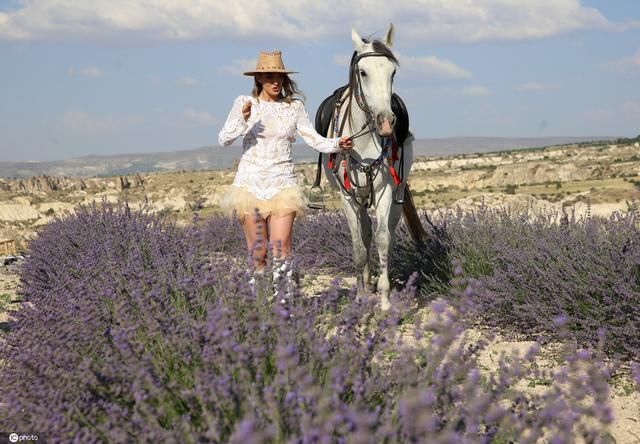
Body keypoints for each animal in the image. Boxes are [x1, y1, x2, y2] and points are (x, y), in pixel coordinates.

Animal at [322, 23, 418, 308]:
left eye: (392, 71)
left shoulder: (385, 189)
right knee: (364, 234)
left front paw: (385, 300)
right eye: (363, 72)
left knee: (386, 233)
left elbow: (383, 238)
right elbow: (358, 246)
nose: (386, 122)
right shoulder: (347, 196)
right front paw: (361, 295)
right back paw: (366, 284)